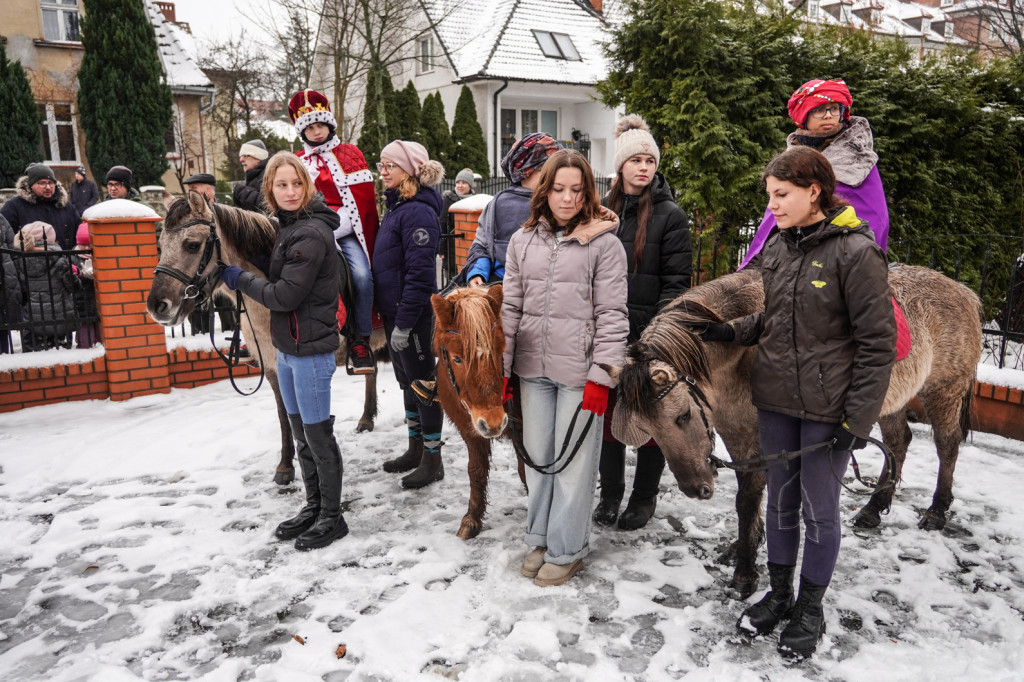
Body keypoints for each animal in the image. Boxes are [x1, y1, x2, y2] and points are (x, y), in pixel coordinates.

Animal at [150, 192, 387, 483]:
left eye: (192, 245)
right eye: (161, 244)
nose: (156, 305)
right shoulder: (274, 366)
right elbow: (284, 414)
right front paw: (285, 466)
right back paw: (366, 418)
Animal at [430, 284, 512, 540]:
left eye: (501, 350)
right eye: (457, 358)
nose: (494, 423)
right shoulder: (471, 431)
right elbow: (476, 471)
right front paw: (472, 519)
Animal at [606, 264, 983, 593]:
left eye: (683, 416)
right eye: (649, 429)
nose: (696, 489)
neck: (743, 354)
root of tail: (965, 292)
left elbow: (749, 498)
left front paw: (745, 571)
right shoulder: (737, 432)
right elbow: (750, 495)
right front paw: (747, 543)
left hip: (944, 391)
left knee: (947, 445)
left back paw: (937, 511)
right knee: (898, 441)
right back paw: (873, 508)